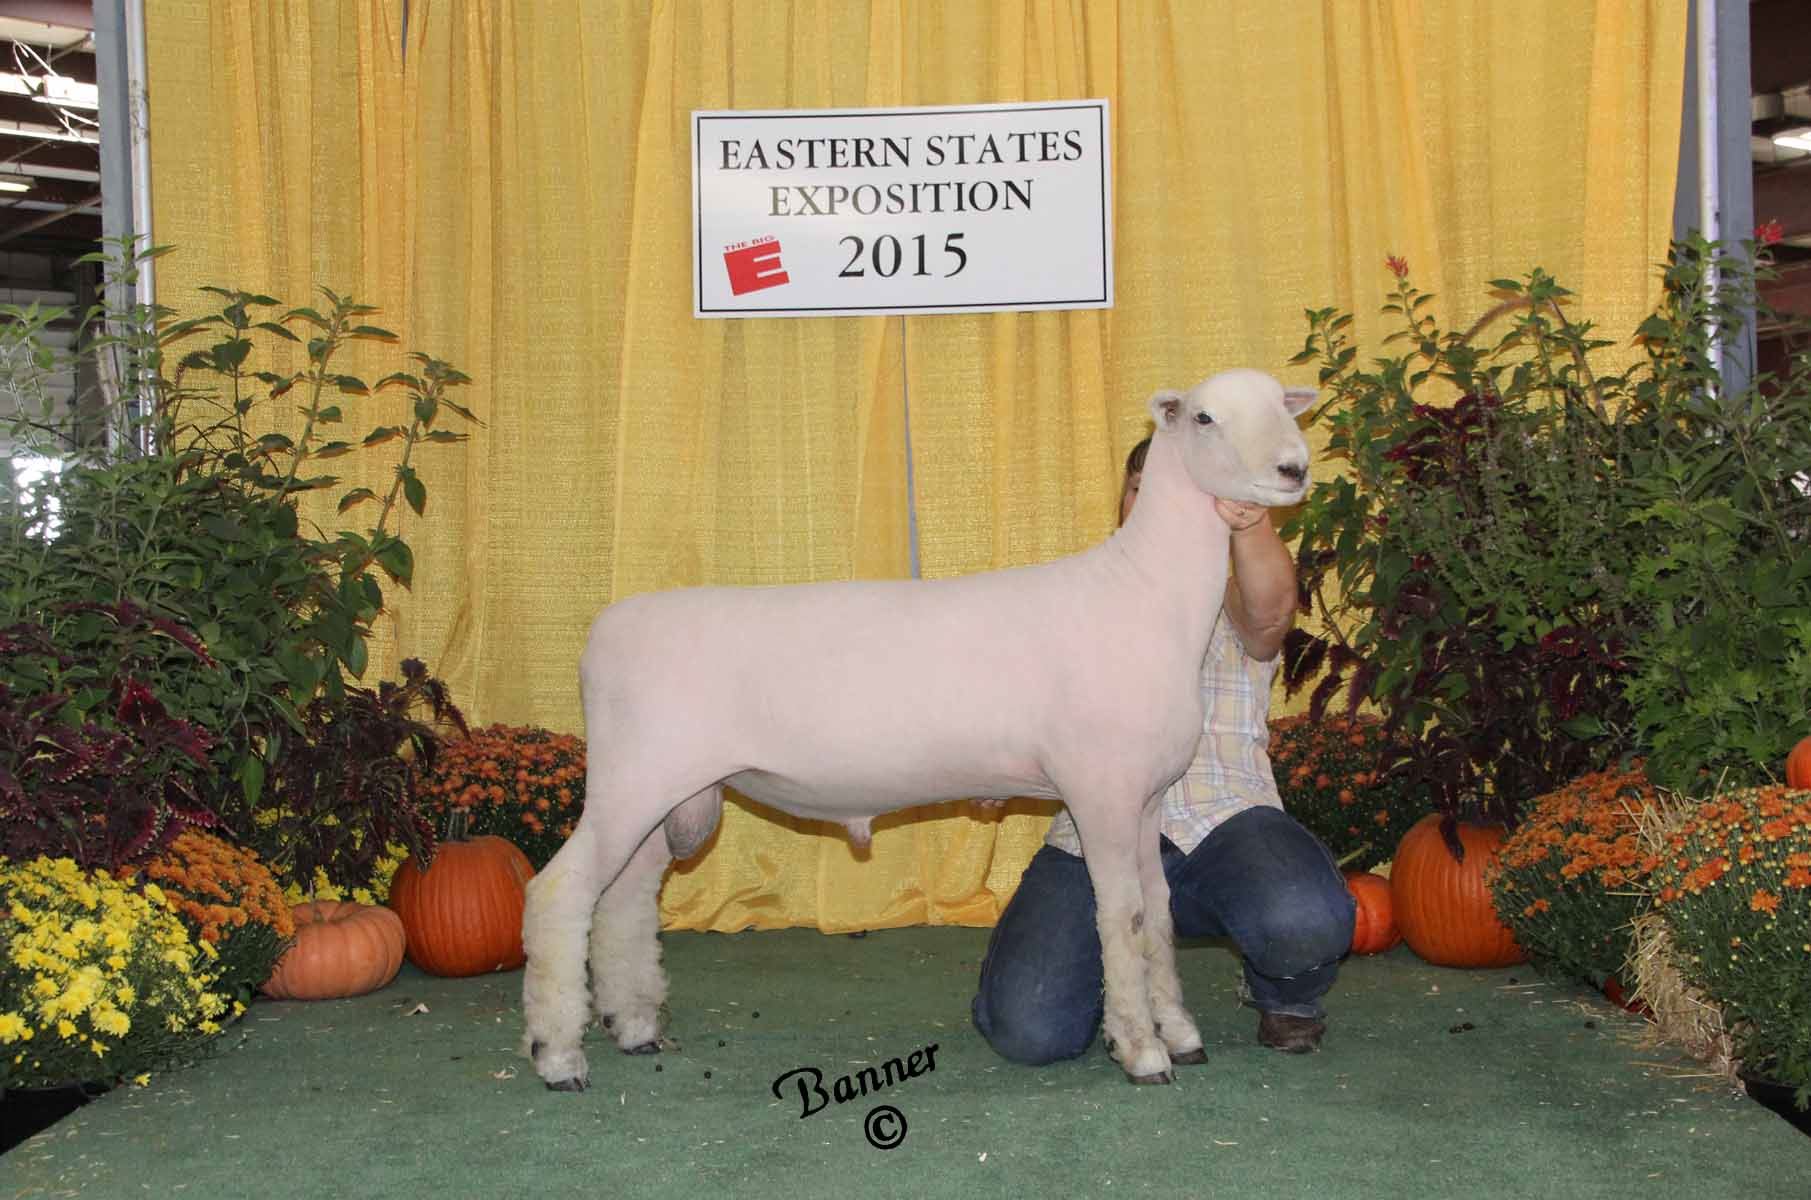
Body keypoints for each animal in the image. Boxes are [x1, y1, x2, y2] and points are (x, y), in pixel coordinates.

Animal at [521, 367, 1314, 1092]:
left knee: (622, 899)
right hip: (634, 778)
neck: (1146, 593)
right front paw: (1142, 1052)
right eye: (1205, 417)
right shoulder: (1102, 790)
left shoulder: (1146, 796)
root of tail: (605, 633)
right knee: (562, 893)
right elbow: (1120, 918)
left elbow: (1158, 916)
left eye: (1284, 403)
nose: (1294, 468)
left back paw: (635, 1028)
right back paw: (558, 1057)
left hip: (665, 791)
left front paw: (1177, 1032)